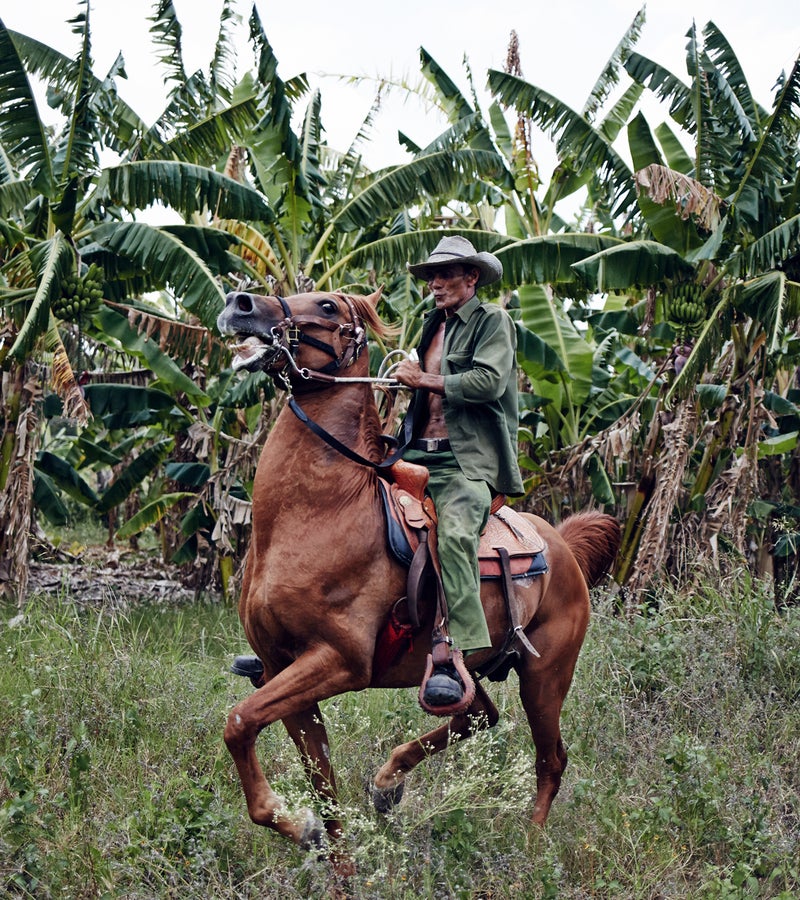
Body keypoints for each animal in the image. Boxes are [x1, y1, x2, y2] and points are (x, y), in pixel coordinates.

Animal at [217, 286, 620, 872]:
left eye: (329, 306)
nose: (239, 302)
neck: (320, 512)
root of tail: (562, 544)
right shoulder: (278, 667)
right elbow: (321, 786)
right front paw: (328, 854)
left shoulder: (338, 662)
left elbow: (240, 722)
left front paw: (295, 822)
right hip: (469, 670)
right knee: (477, 714)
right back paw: (388, 785)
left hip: (545, 678)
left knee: (551, 759)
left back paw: (529, 848)